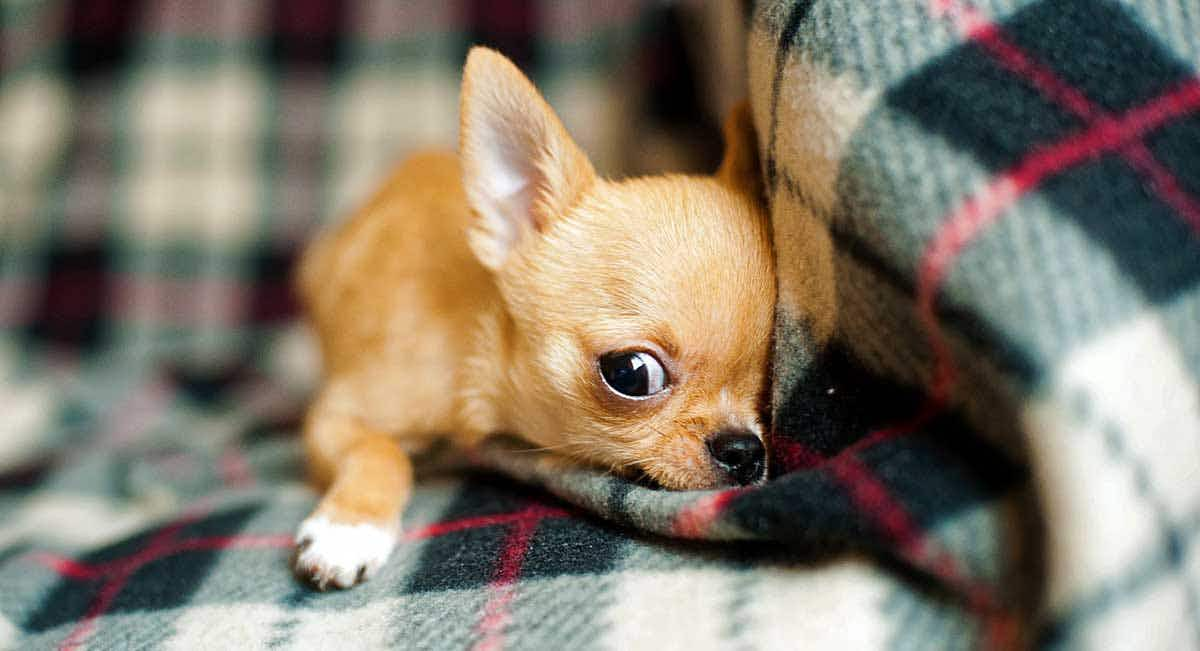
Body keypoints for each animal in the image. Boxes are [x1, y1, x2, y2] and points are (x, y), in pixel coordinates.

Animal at [294, 48, 772, 588]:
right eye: (631, 373)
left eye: (770, 372)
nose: (744, 450)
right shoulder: (333, 417)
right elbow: (382, 450)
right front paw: (350, 529)